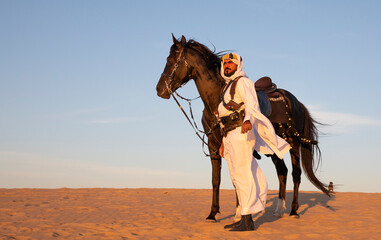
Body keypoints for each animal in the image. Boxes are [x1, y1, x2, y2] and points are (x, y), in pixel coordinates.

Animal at [156, 34, 328, 222]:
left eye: (170, 60)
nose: (159, 90)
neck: (216, 101)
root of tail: (296, 102)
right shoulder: (213, 145)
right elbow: (216, 180)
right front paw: (212, 213)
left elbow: (238, 179)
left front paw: (240, 213)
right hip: (273, 150)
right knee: (282, 171)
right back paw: (278, 209)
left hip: (293, 144)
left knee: (296, 174)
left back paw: (294, 210)